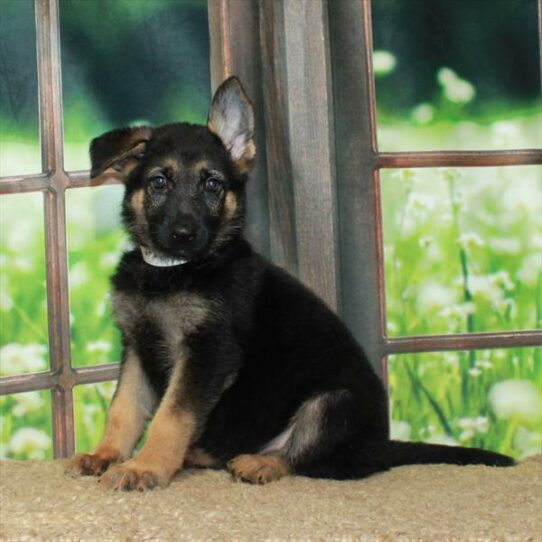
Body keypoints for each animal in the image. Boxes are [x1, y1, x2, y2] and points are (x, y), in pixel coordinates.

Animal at [66, 77, 516, 492]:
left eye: (212, 185)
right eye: (159, 182)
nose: (184, 234)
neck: (171, 271)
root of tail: (382, 447)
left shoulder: (206, 353)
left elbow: (171, 417)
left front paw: (146, 466)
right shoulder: (137, 347)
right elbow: (124, 409)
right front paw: (105, 455)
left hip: (334, 402)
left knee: (308, 456)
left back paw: (260, 463)